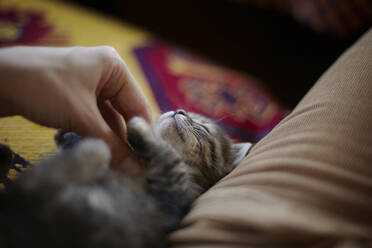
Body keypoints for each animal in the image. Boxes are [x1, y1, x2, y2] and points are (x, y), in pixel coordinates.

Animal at [0, 110, 251, 248]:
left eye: (203, 127)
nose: (179, 110)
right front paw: (69, 135)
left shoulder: (172, 189)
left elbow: (165, 154)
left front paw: (139, 128)